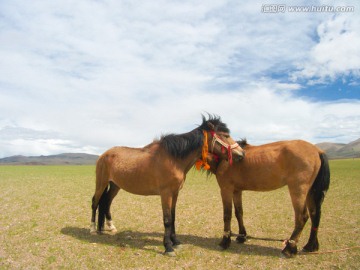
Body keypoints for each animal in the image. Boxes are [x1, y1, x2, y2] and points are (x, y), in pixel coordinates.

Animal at [89, 115, 245, 255]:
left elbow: (173, 216)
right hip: (101, 183)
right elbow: (167, 219)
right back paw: (92, 229)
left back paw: (110, 227)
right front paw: (168, 247)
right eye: (225, 135)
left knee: (107, 202)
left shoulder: (175, 192)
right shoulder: (165, 193)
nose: (241, 154)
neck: (173, 158)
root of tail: (103, 155)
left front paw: (175, 242)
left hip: (115, 185)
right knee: (95, 202)